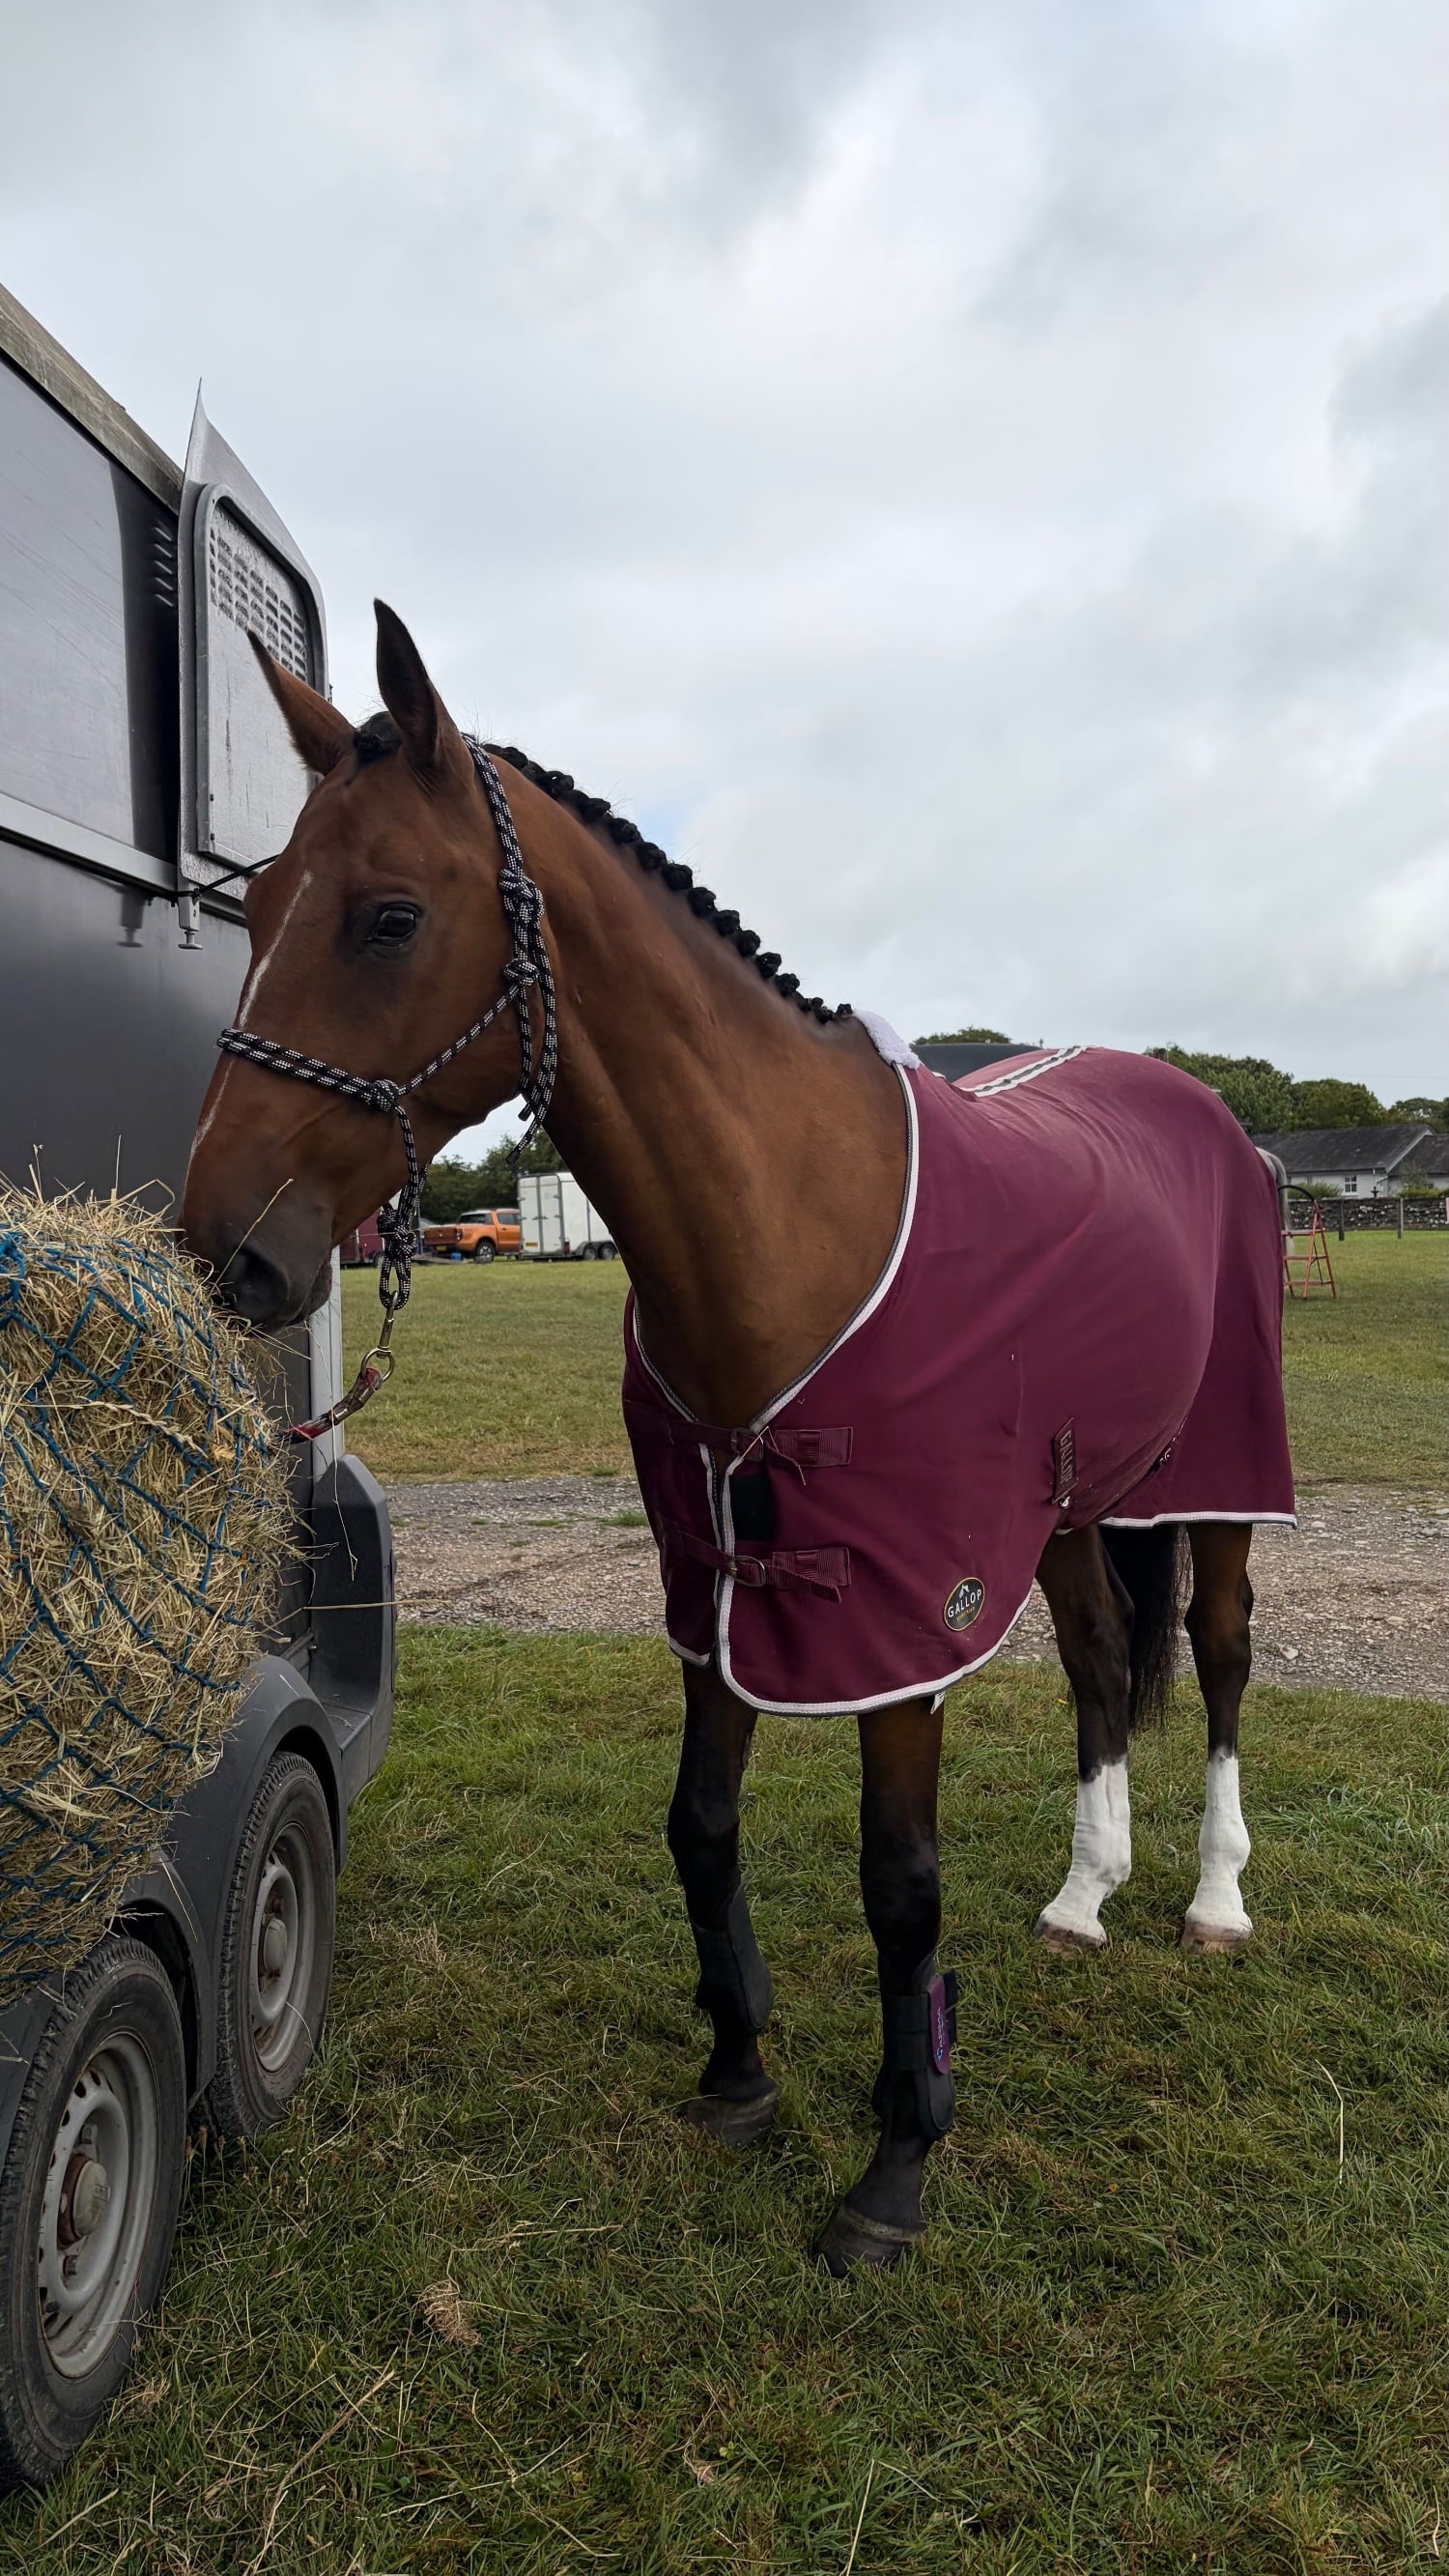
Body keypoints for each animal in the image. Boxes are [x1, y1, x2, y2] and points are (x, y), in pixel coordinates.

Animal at [182, 602, 1295, 2275]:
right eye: (252, 905)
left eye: (385, 916)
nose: (223, 1249)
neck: (784, 1226)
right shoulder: (711, 1580)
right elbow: (701, 1823)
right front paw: (738, 2070)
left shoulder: (899, 1610)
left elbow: (900, 1886)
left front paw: (895, 2166)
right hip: (1063, 1508)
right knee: (1106, 1665)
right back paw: (1083, 1895)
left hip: (1216, 1481)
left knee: (1219, 1660)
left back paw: (1214, 1902)